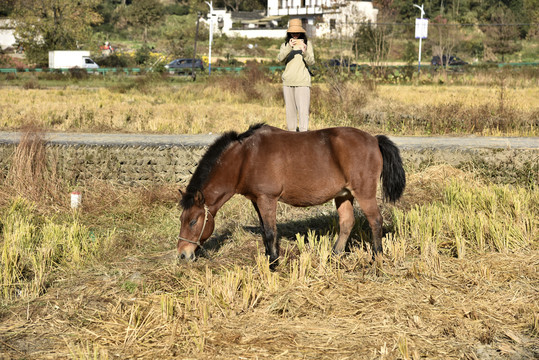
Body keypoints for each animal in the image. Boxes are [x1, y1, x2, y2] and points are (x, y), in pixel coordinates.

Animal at [177, 124, 404, 268]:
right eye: (182, 219)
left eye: (193, 221)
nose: (182, 254)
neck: (245, 158)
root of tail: (374, 139)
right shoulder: (256, 201)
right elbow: (264, 231)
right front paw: (269, 257)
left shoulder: (267, 199)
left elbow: (270, 232)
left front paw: (273, 264)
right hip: (344, 195)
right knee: (347, 223)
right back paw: (334, 256)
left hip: (364, 193)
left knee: (375, 220)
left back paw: (376, 257)